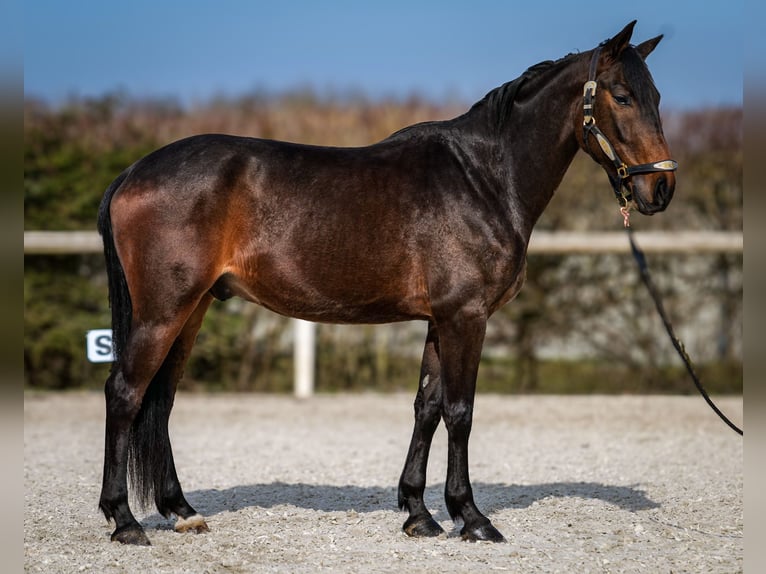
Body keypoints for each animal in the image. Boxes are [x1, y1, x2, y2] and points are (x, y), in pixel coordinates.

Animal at [96, 20, 680, 548]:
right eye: (623, 96)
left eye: (656, 95)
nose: (661, 188)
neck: (483, 178)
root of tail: (132, 173)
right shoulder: (466, 316)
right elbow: (460, 413)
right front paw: (472, 518)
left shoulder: (440, 320)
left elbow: (427, 408)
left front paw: (419, 513)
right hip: (164, 311)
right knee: (125, 393)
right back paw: (124, 521)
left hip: (192, 309)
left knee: (161, 398)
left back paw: (181, 511)